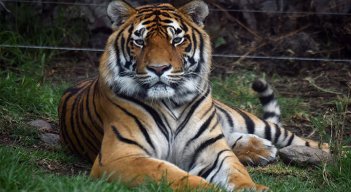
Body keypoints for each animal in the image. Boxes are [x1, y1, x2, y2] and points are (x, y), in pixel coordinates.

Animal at [57, 1, 330, 190]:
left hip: (247, 120)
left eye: (176, 40)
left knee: (302, 140)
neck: (171, 102)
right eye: (140, 42)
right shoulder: (120, 156)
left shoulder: (212, 150)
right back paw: (261, 150)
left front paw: (252, 187)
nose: (158, 69)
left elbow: (236, 172)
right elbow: (173, 175)